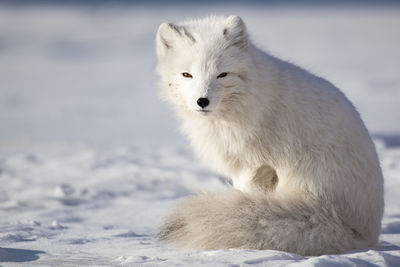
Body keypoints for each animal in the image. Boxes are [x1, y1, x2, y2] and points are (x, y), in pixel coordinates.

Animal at [155, 15, 382, 258]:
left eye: (222, 74)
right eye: (187, 74)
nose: (202, 101)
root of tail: (361, 233)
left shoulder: (254, 165)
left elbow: (243, 193)